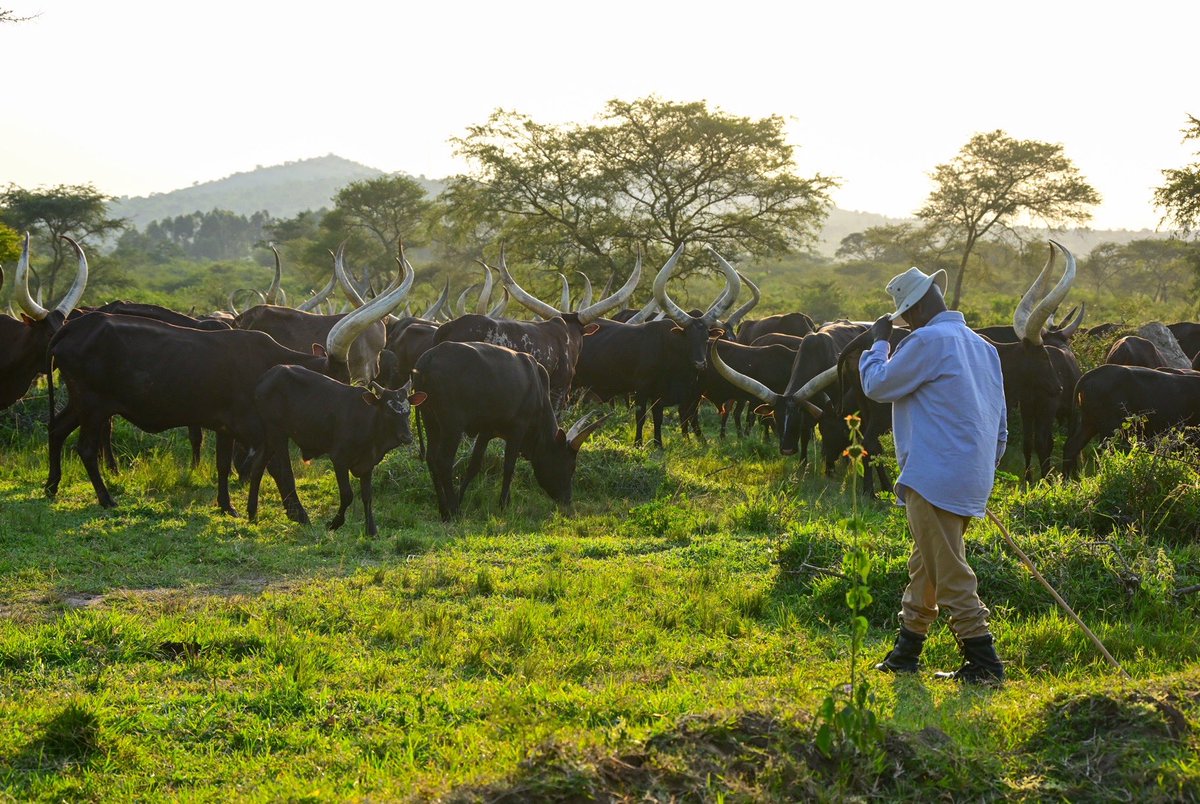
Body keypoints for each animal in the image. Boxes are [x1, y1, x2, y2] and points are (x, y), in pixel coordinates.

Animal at [45, 262, 413, 514]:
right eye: (335, 381)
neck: (274, 365)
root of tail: (71, 327)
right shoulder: (264, 431)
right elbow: (279, 469)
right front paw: (298, 514)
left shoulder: (225, 426)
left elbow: (224, 464)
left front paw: (228, 506)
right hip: (94, 406)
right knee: (86, 449)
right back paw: (106, 498)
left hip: (81, 403)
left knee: (56, 428)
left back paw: (51, 486)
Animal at [245, 366, 414, 535]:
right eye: (389, 412)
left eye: (408, 412)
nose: (407, 436)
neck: (368, 421)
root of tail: (269, 374)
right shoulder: (339, 459)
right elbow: (347, 495)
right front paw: (334, 523)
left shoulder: (368, 463)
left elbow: (367, 496)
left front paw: (371, 530)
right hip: (278, 433)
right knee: (284, 472)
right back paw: (300, 516)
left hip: (270, 435)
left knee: (258, 464)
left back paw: (252, 512)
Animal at [411, 341, 608, 520]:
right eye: (570, 466)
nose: (567, 499)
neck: (540, 394)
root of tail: (427, 360)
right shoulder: (518, 429)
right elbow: (509, 467)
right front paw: (503, 504)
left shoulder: (486, 431)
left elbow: (474, 465)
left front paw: (461, 498)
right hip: (452, 425)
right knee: (443, 461)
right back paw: (453, 511)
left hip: (431, 421)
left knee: (431, 459)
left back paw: (444, 509)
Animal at [1063, 364, 1200, 476]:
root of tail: (1091, 373)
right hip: (1109, 430)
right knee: (1102, 454)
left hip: (1089, 424)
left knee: (1071, 448)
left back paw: (1070, 480)